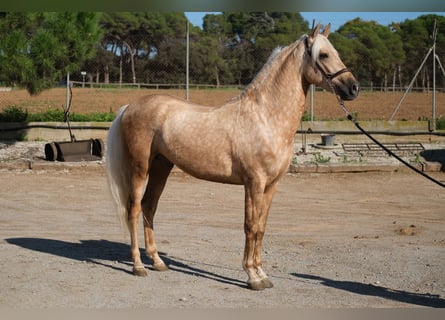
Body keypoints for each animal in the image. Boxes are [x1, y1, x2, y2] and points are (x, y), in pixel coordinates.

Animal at [106, 23, 360, 290]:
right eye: (324, 55)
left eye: (335, 52)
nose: (353, 88)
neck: (265, 116)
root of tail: (129, 107)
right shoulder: (253, 183)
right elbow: (250, 226)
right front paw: (253, 276)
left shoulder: (271, 186)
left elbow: (261, 227)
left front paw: (262, 273)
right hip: (140, 168)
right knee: (133, 209)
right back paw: (138, 266)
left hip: (161, 166)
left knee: (149, 206)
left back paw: (157, 262)